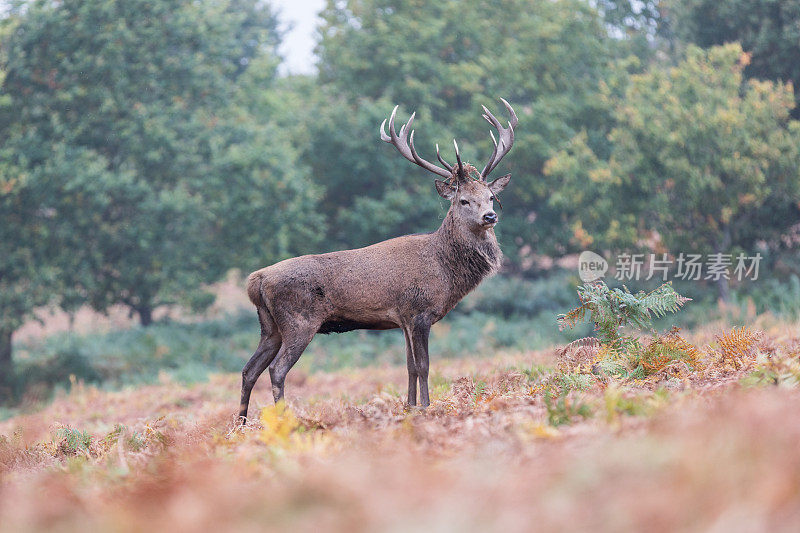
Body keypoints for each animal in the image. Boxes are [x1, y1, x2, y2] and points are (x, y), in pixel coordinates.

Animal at [238, 96, 520, 420]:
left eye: (490, 197)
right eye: (464, 200)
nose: (490, 216)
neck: (445, 272)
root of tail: (257, 280)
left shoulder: (403, 318)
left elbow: (409, 367)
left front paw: (410, 407)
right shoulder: (419, 311)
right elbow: (424, 366)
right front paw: (426, 408)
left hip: (269, 325)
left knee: (249, 370)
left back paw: (240, 424)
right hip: (299, 320)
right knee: (277, 369)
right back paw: (284, 420)